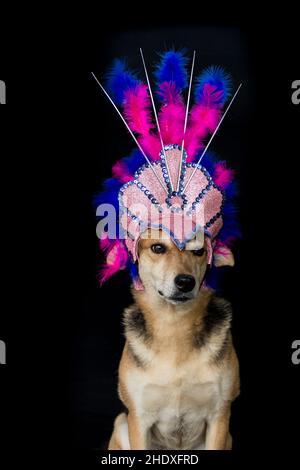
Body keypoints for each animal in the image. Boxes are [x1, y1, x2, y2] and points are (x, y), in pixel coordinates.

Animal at [108, 229, 239, 450]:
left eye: (199, 251)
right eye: (158, 248)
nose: (186, 282)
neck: (175, 326)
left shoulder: (219, 416)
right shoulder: (139, 418)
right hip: (120, 424)